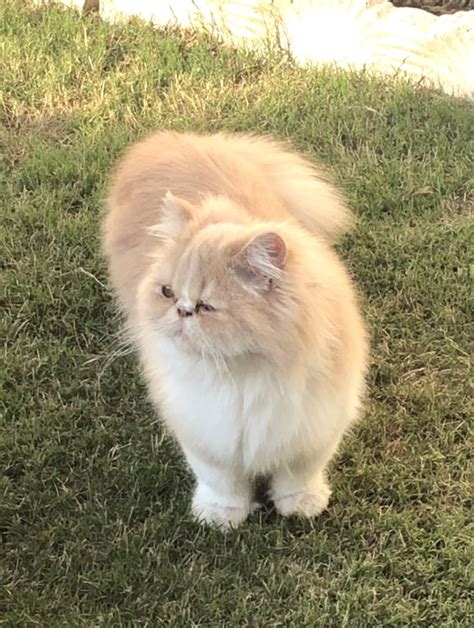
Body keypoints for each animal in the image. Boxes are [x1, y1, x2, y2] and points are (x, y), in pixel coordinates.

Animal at [103, 132, 370, 528]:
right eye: (167, 293)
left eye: (207, 307)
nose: (182, 310)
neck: (245, 374)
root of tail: (174, 138)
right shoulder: (204, 429)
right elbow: (220, 480)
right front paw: (222, 518)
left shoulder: (314, 426)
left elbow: (298, 475)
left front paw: (300, 506)